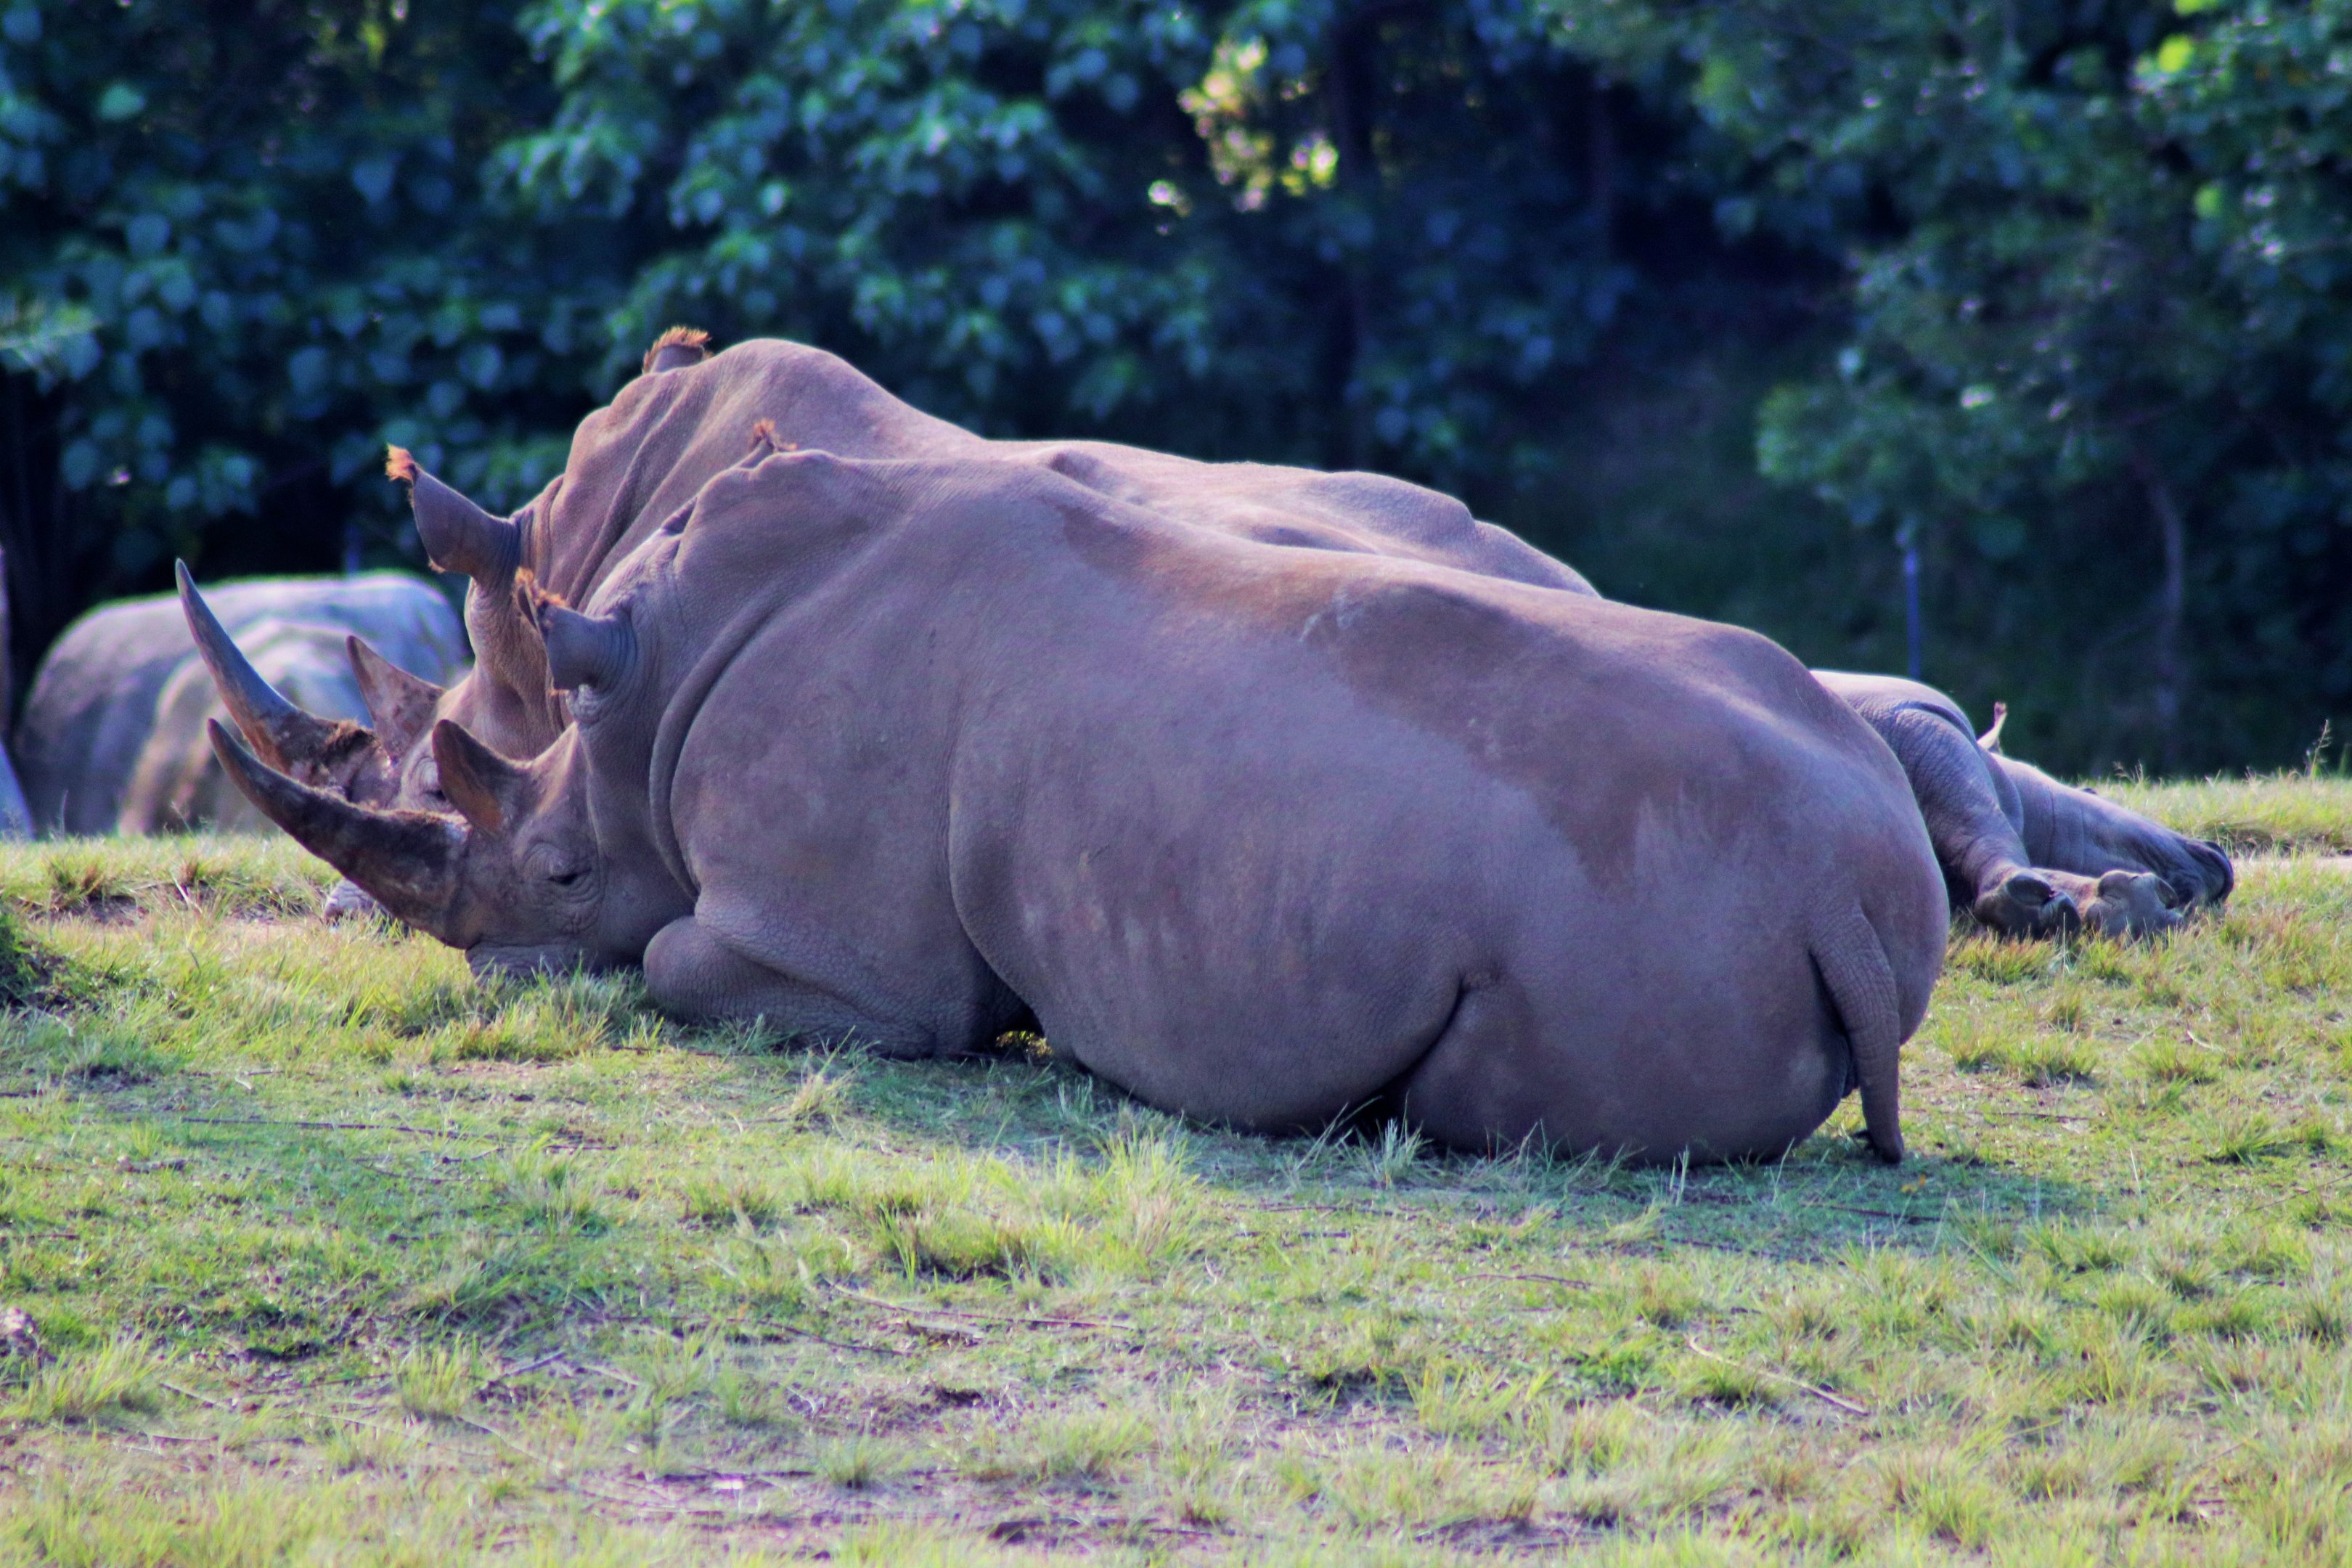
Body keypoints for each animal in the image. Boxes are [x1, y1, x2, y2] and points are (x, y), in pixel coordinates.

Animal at [209, 449, 1948, 1163]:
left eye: (563, 880)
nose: (489, 969)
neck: (651, 689)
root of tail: (1847, 896)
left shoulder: (845, 961)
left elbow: (680, 963)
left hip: (1646, 913)